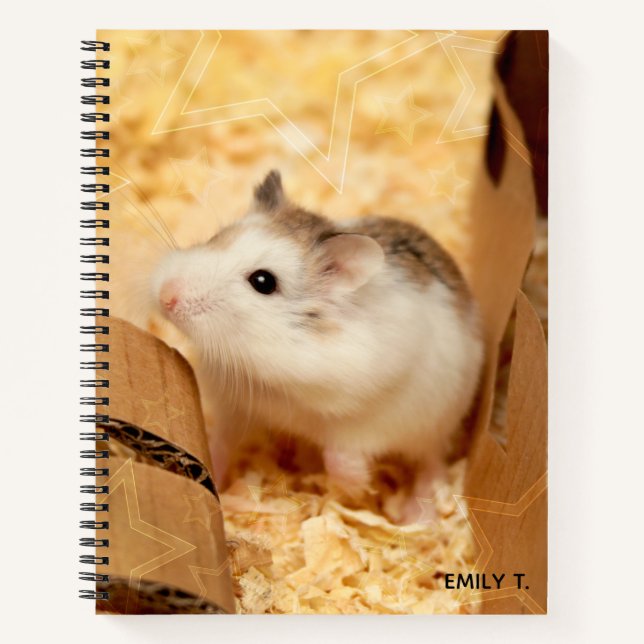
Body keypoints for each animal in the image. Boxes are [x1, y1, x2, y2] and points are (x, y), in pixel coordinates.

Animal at [152, 170, 484, 523]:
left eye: (263, 282)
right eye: (217, 236)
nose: (167, 296)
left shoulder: (371, 418)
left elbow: (340, 458)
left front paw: (359, 492)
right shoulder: (236, 404)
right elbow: (219, 441)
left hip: (436, 419)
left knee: (432, 463)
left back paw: (415, 517)